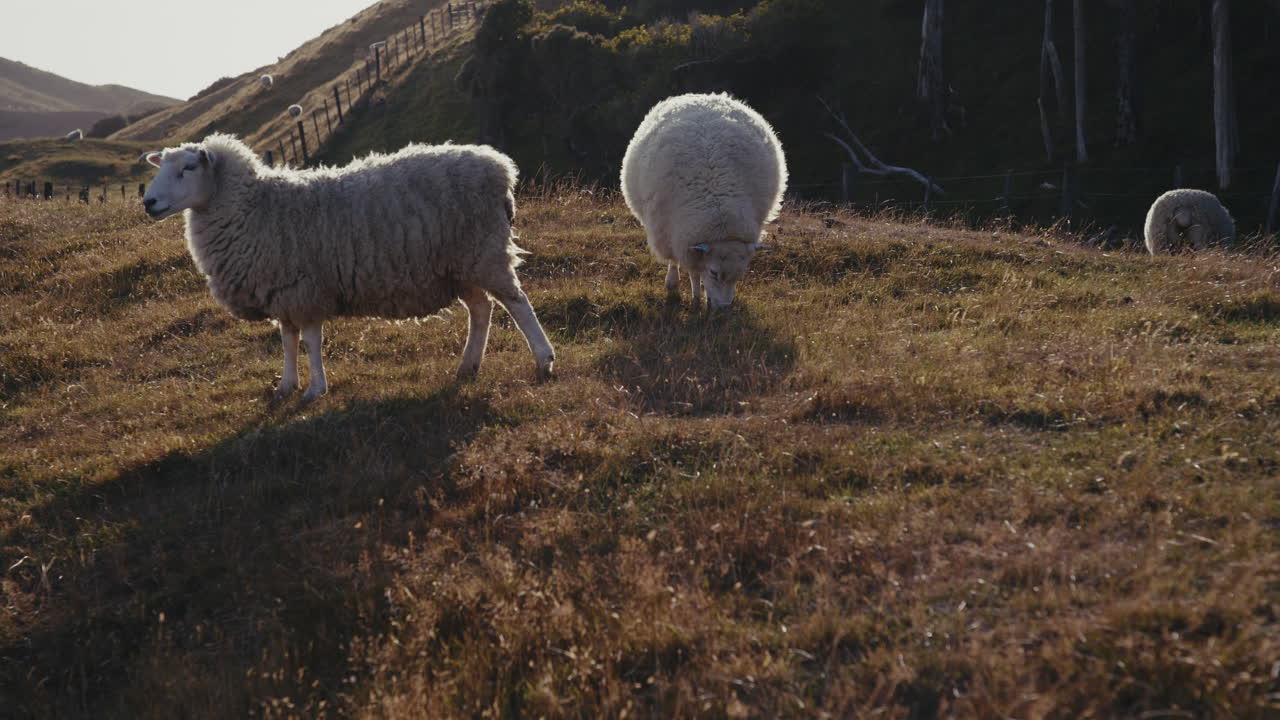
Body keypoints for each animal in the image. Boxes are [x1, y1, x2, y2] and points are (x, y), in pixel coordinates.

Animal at [141, 133, 556, 400]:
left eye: (189, 167)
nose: (148, 202)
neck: (253, 206)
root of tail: (500, 167)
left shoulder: (305, 289)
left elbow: (311, 341)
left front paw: (315, 389)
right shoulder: (282, 293)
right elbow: (288, 341)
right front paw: (286, 386)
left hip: (484, 251)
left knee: (517, 303)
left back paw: (544, 360)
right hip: (457, 265)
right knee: (482, 309)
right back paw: (468, 367)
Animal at [620, 92, 787, 308]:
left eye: (740, 274)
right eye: (714, 272)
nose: (724, 308)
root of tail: (701, 96)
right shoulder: (676, 233)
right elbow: (692, 271)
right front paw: (695, 297)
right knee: (674, 260)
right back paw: (672, 282)